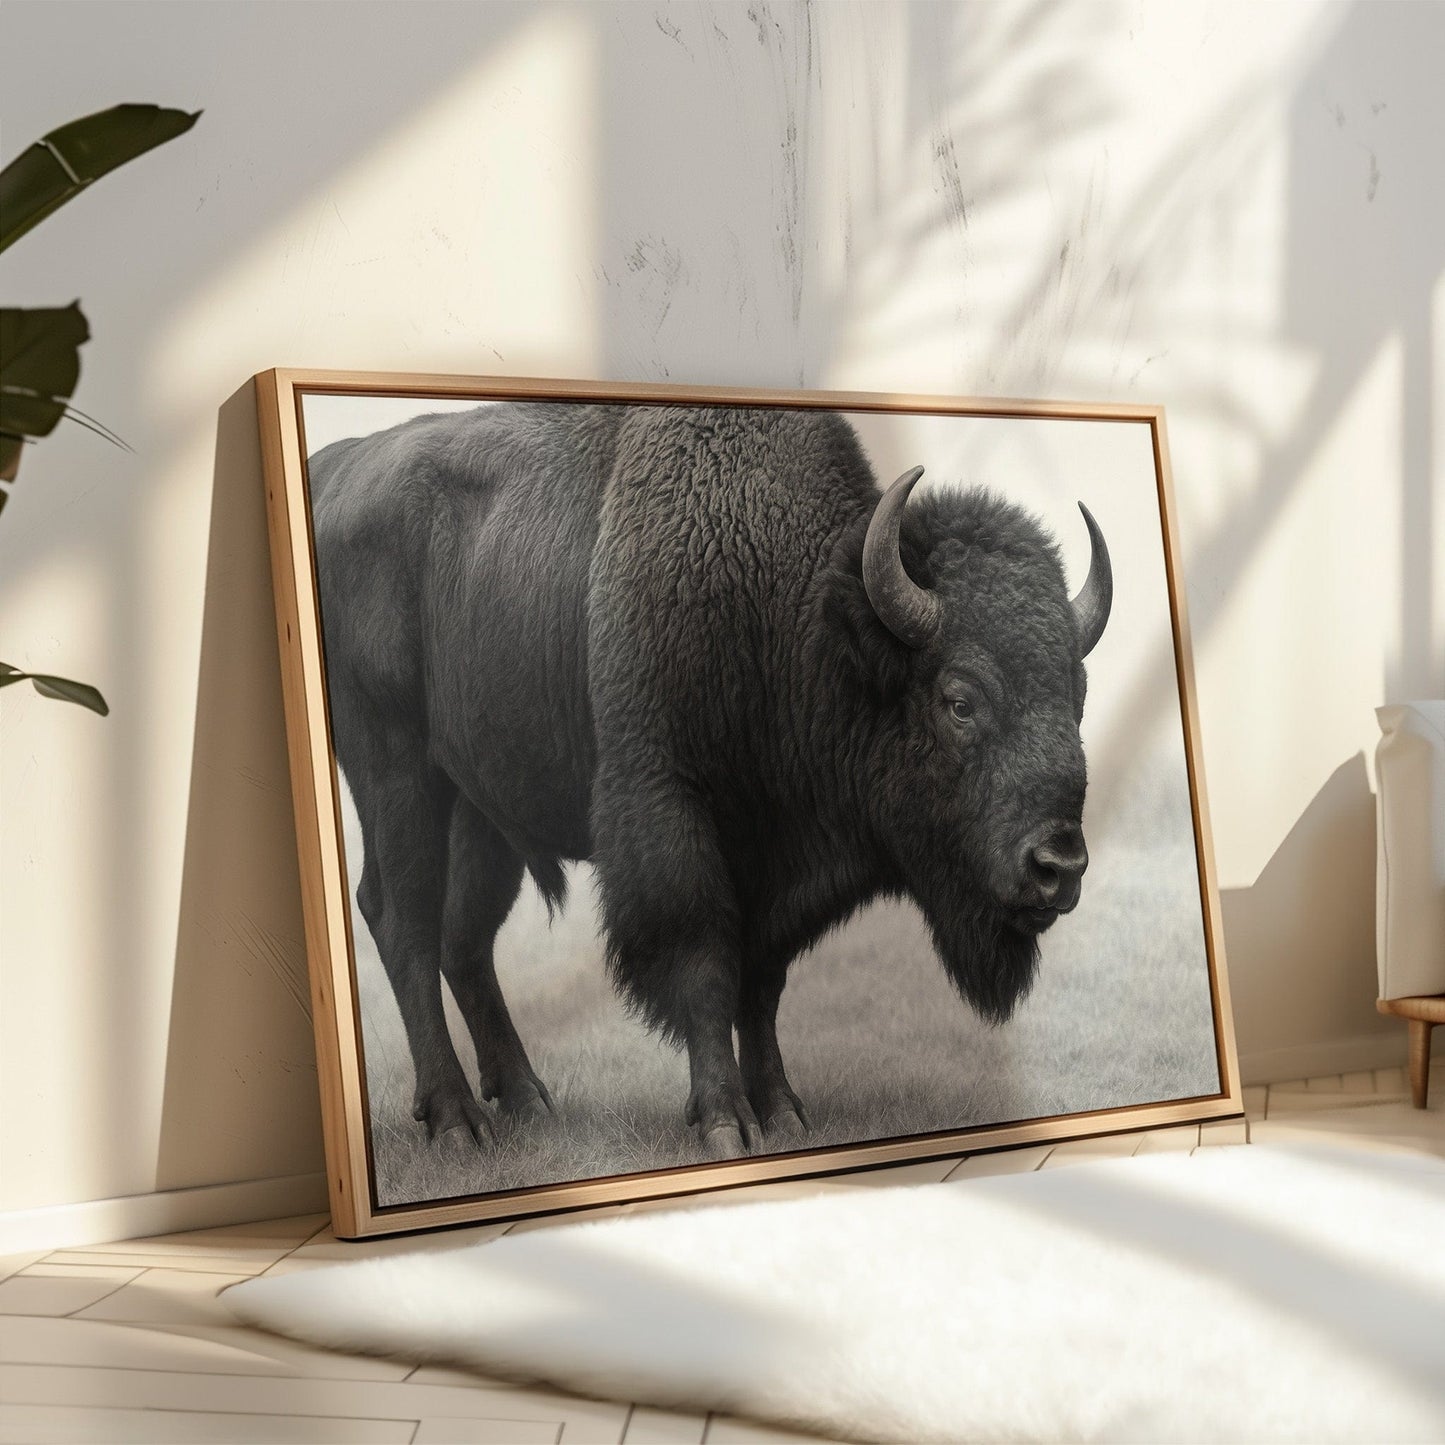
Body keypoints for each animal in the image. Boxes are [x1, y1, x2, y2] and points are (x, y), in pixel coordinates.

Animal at [309, 402, 1111, 1158]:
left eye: (1076, 692)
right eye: (959, 699)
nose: (1058, 866)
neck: (794, 610)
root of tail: (332, 472)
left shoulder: (772, 866)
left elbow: (761, 982)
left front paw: (782, 1109)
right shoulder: (673, 814)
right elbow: (703, 965)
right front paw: (725, 1121)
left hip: (481, 808)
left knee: (463, 935)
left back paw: (529, 1100)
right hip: (396, 772)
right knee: (401, 919)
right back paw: (455, 1122)